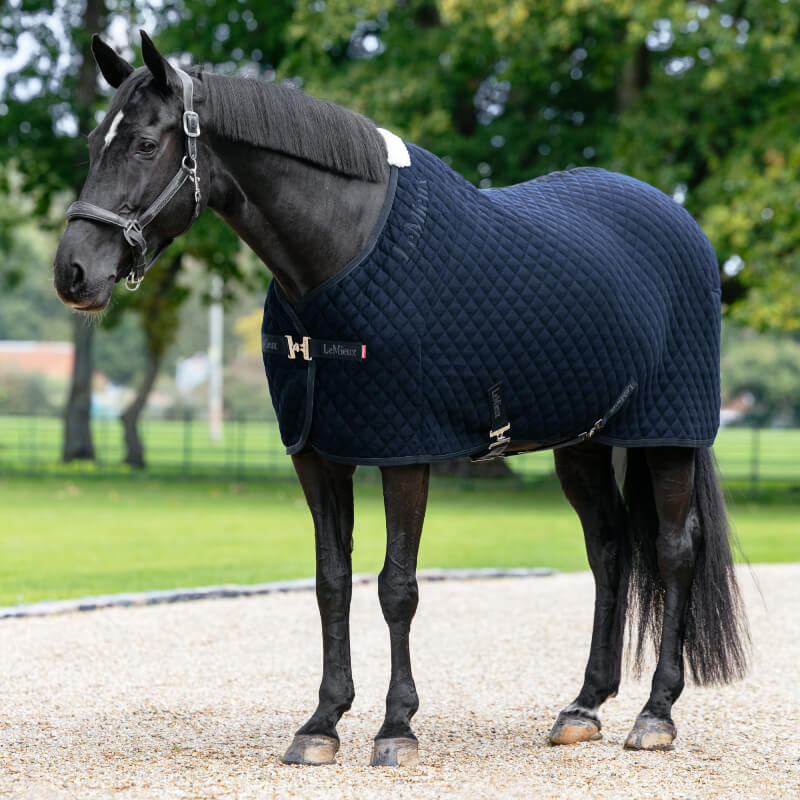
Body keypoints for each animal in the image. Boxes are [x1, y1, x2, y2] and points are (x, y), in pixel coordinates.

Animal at [53, 32, 748, 767]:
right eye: (95, 143)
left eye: (144, 145)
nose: (73, 272)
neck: (341, 253)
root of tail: (682, 223)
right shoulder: (317, 454)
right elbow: (332, 580)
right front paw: (321, 723)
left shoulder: (405, 451)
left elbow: (397, 586)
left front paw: (396, 727)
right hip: (582, 443)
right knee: (609, 548)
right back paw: (584, 706)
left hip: (667, 436)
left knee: (674, 551)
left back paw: (655, 715)